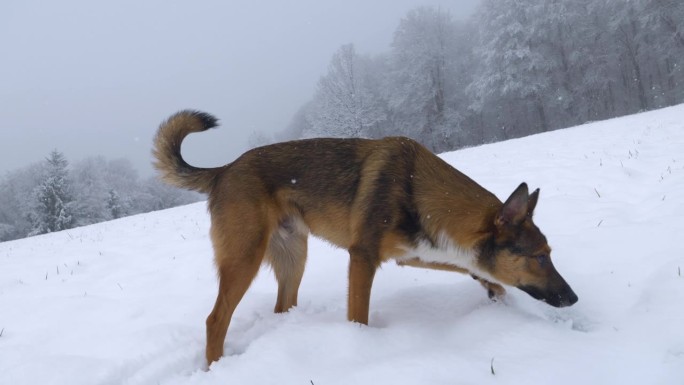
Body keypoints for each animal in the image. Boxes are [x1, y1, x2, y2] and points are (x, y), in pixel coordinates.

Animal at [152, 110, 576, 364]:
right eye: (540, 256)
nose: (572, 298)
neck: (417, 190)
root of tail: (223, 170)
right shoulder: (362, 258)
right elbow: (359, 317)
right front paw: (360, 349)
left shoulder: (420, 251)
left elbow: (478, 272)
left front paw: (499, 301)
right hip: (244, 259)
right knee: (215, 320)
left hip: (293, 260)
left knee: (280, 306)